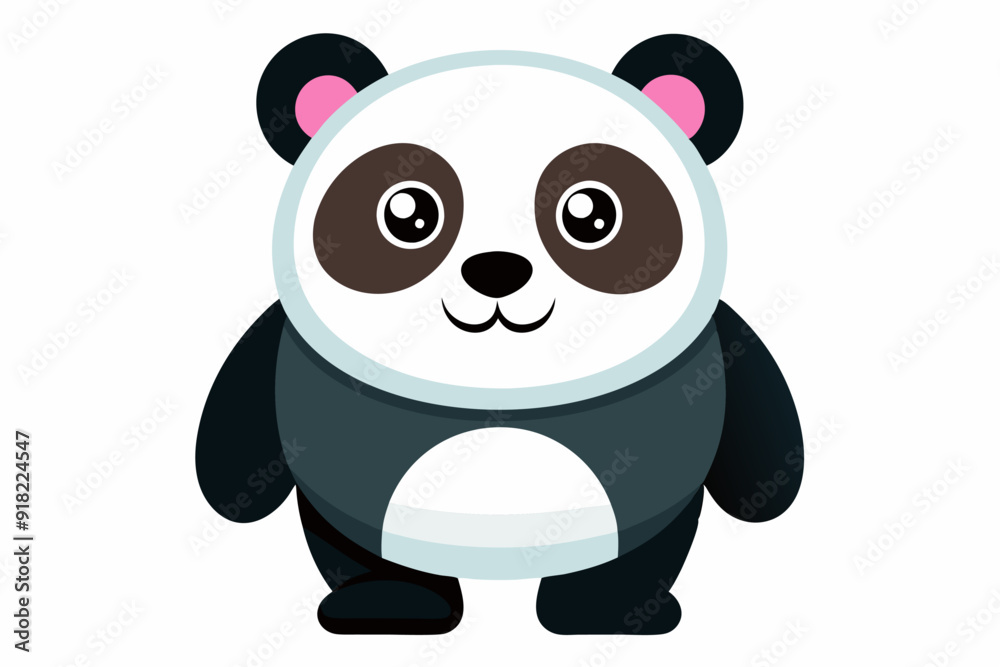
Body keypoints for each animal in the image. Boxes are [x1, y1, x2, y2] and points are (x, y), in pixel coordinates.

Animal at [196, 33, 803, 636]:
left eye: (591, 214)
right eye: (407, 213)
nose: (496, 270)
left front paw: (769, 494)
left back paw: (605, 611)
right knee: (360, 551)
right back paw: (391, 603)